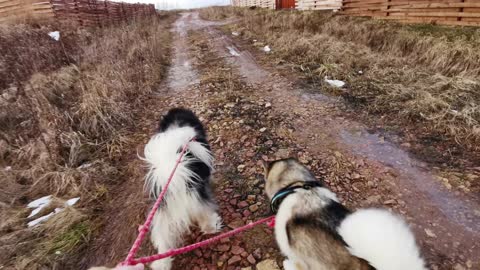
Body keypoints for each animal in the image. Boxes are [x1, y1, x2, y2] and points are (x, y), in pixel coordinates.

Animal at [143, 108, 222, 270]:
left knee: (163, 242)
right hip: (198, 203)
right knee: (205, 218)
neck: (177, 123)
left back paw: (162, 263)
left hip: (161, 220)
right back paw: (213, 225)